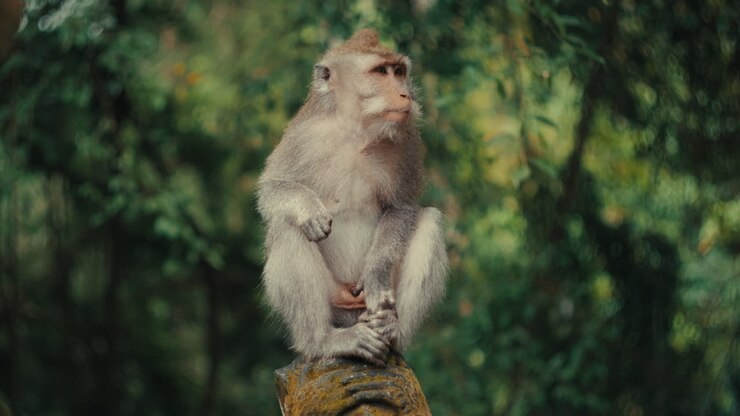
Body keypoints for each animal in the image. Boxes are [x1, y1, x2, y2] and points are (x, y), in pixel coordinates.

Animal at [257, 29, 448, 366]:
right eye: (380, 72)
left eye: (399, 72)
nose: (405, 95)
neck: (356, 131)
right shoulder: (303, 134)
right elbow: (271, 188)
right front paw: (309, 209)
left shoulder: (407, 139)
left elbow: (402, 208)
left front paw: (375, 276)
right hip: (335, 300)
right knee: (286, 226)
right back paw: (323, 342)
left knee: (431, 221)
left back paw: (392, 332)